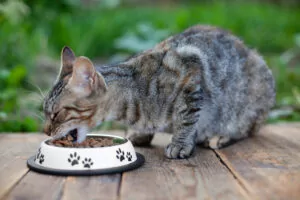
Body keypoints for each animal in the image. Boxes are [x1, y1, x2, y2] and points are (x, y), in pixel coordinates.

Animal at [43, 25, 276, 159]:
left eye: (56, 114)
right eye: (44, 111)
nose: (45, 131)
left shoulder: (190, 75)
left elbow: (187, 119)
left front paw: (181, 144)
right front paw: (141, 134)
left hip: (252, 99)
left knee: (247, 129)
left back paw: (219, 136)